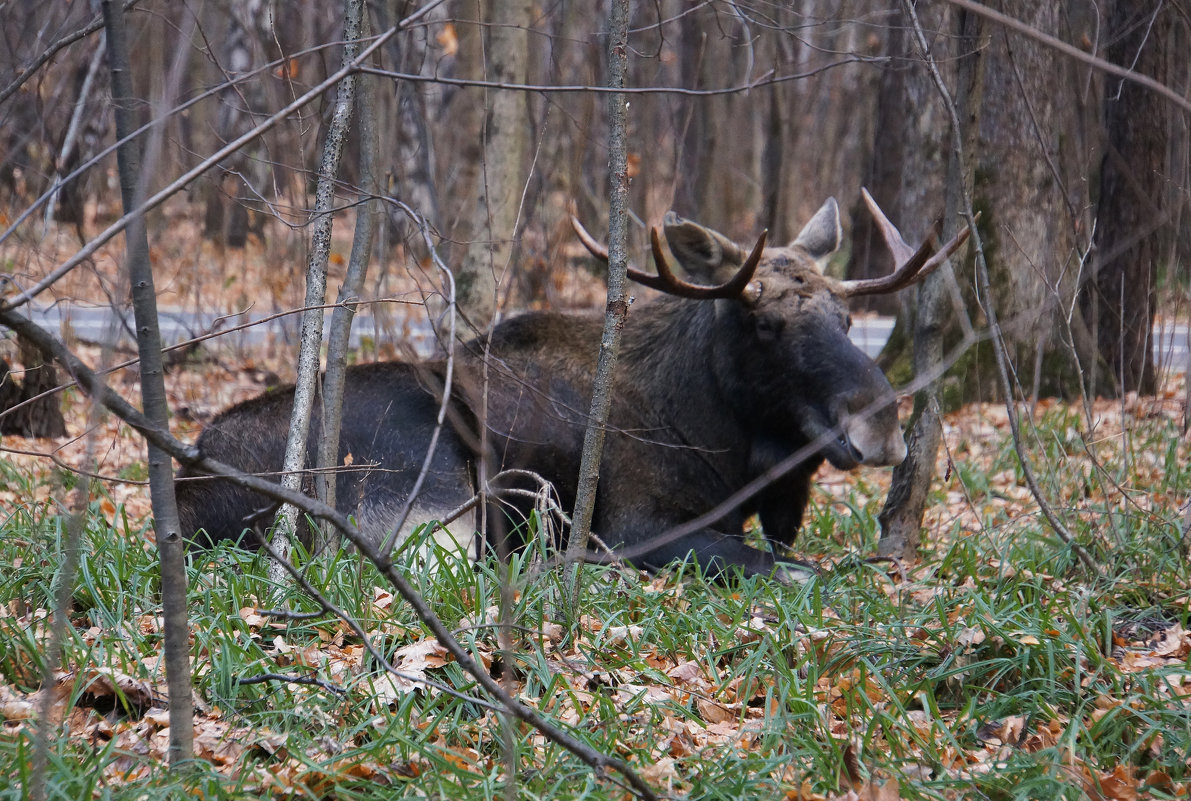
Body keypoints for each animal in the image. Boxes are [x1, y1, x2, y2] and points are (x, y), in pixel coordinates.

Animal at [178, 194, 976, 580]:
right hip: (428, 484)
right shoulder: (640, 523)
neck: (723, 440)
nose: (882, 429)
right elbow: (797, 572)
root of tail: (186, 483)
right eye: (767, 324)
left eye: (847, 317)